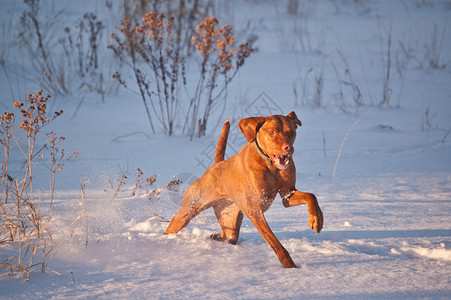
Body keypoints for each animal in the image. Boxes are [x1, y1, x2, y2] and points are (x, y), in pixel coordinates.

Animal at [166, 111, 324, 268]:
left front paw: (316, 219)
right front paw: (289, 265)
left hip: (230, 222)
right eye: (271, 132)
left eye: (291, 132)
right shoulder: (255, 209)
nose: (288, 148)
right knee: (175, 223)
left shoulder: (287, 194)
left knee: (227, 236)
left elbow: (311, 196)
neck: (270, 165)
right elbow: (274, 242)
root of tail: (216, 165)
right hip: (188, 211)